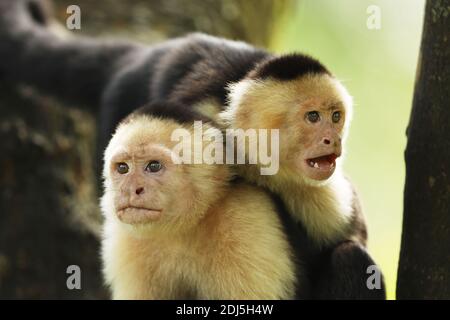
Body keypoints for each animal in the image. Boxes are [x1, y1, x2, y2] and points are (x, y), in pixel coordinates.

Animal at [100, 104, 310, 298]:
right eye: (123, 168)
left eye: (153, 166)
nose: (130, 189)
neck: (184, 226)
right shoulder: (126, 242)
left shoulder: (245, 221)